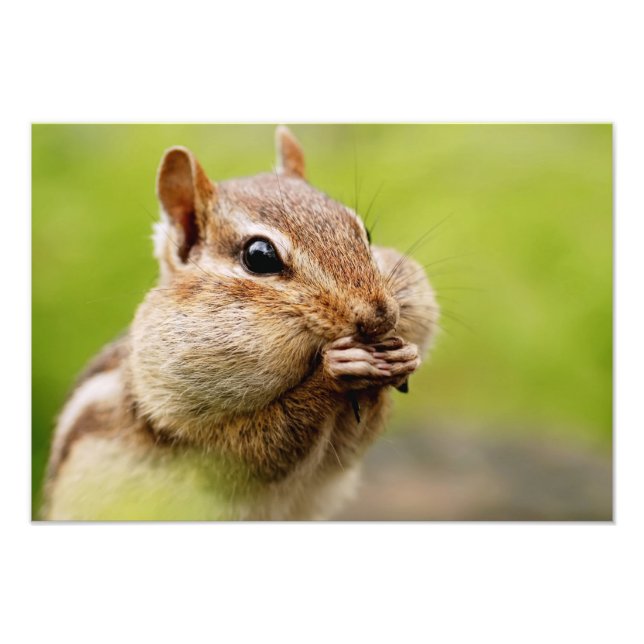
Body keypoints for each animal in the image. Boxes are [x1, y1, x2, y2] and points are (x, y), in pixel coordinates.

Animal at [42, 126, 439, 520]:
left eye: (365, 234)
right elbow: (264, 447)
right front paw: (337, 369)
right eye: (259, 256)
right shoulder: (206, 446)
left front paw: (405, 357)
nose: (380, 317)